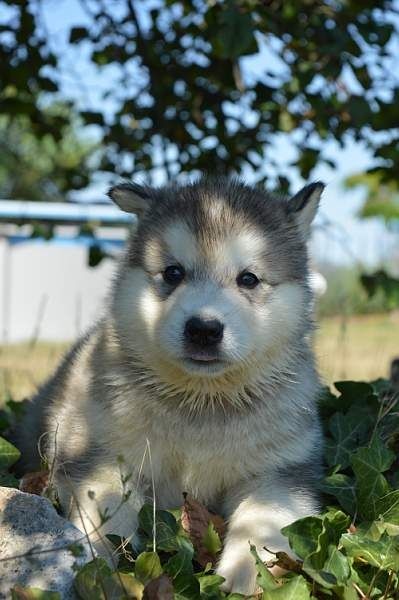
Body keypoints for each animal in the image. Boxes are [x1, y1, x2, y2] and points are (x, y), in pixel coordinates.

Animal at [18, 177, 324, 592]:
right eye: (173, 273)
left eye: (248, 279)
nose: (203, 329)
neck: (200, 402)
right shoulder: (102, 457)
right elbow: (106, 515)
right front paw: (103, 571)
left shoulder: (282, 476)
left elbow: (259, 530)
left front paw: (240, 579)